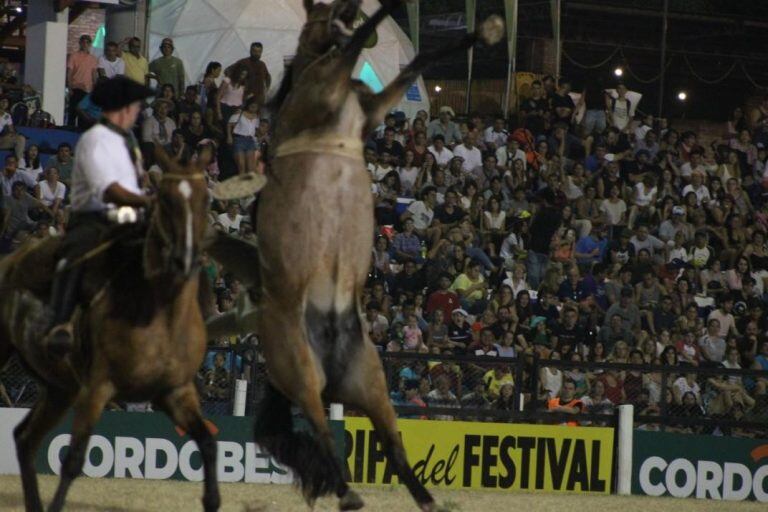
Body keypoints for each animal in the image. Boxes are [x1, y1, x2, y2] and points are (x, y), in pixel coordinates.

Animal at [0, 150, 219, 512]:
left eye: (206, 200)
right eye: (166, 200)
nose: (184, 257)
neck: (160, 315)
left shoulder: (176, 392)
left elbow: (208, 442)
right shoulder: (97, 389)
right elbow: (73, 461)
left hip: (60, 389)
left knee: (25, 439)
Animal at [252, 2, 504, 510]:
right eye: (321, 11)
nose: (345, 9)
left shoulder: (371, 109)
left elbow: (415, 63)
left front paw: (483, 32)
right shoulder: (327, 85)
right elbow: (355, 47)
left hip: (370, 385)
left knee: (392, 446)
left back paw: (425, 498)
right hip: (303, 374)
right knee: (323, 432)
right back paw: (349, 492)